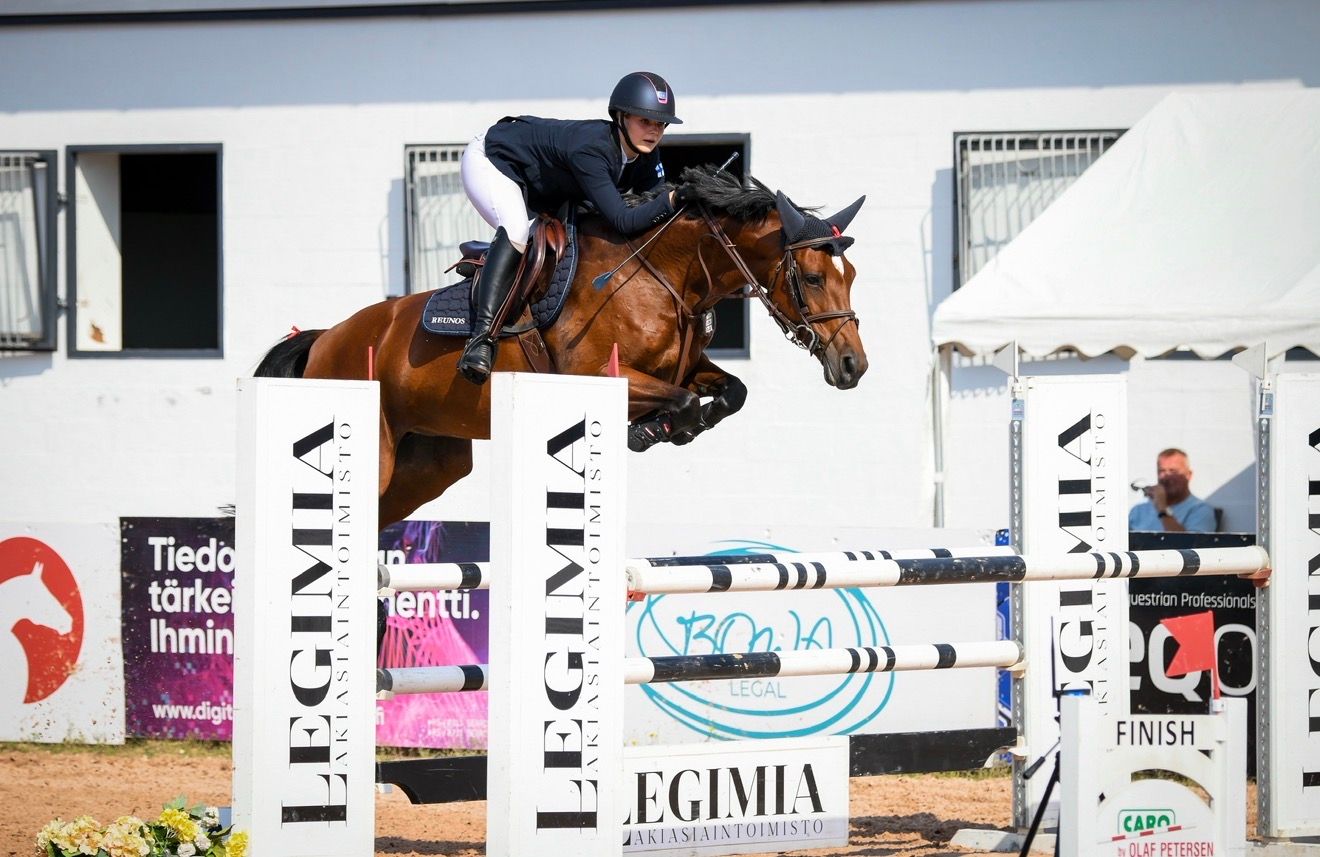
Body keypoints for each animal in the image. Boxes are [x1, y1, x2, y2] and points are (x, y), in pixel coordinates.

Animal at [254, 166, 869, 528]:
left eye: (852, 275)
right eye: (814, 278)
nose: (853, 365)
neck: (661, 275)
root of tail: (324, 341)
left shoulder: (686, 367)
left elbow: (729, 391)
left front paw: (666, 429)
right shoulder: (598, 378)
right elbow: (682, 401)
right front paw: (650, 432)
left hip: (429, 465)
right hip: (373, 450)